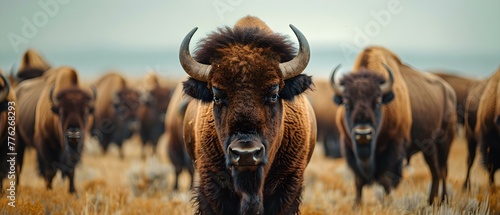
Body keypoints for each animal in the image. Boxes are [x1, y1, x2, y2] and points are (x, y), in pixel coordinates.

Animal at [332, 46, 458, 204]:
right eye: (347, 104)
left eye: (378, 102)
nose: (363, 133)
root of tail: (450, 91)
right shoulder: (349, 147)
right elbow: (358, 180)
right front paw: (357, 204)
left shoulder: (394, 147)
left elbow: (386, 179)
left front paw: (387, 203)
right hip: (429, 147)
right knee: (435, 172)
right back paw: (430, 202)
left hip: (445, 142)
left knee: (443, 170)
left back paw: (443, 200)